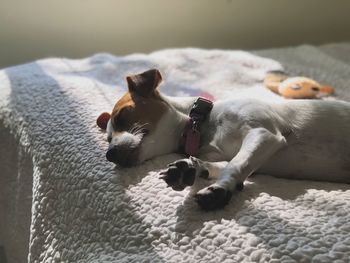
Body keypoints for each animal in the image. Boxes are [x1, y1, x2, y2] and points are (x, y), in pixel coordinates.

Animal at [97, 69, 350, 211]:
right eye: (108, 138)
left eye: (122, 115)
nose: (109, 154)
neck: (202, 126)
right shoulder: (249, 158)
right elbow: (226, 164)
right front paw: (190, 169)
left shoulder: (264, 134)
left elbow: (235, 165)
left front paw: (220, 188)